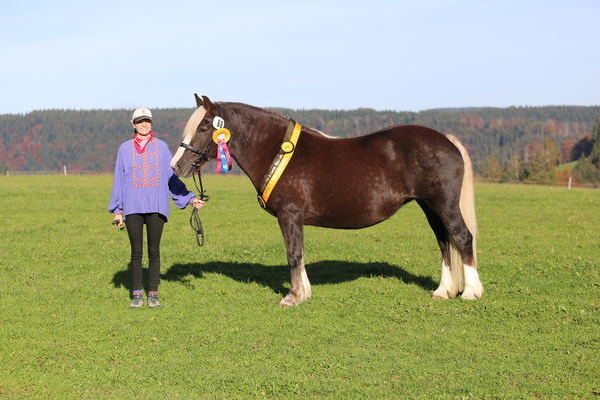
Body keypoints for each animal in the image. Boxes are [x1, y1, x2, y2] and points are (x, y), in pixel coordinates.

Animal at [170, 94, 482, 306]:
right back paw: (443, 291)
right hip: (429, 206)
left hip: (443, 204)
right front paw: (304, 292)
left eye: (204, 126)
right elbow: (300, 252)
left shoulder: (289, 215)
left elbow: (294, 253)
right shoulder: (295, 219)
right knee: (444, 241)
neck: (277, 151)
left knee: (462, 237)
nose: (177, 166)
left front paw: (293, 296)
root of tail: (447, 140)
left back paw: (470, 292)